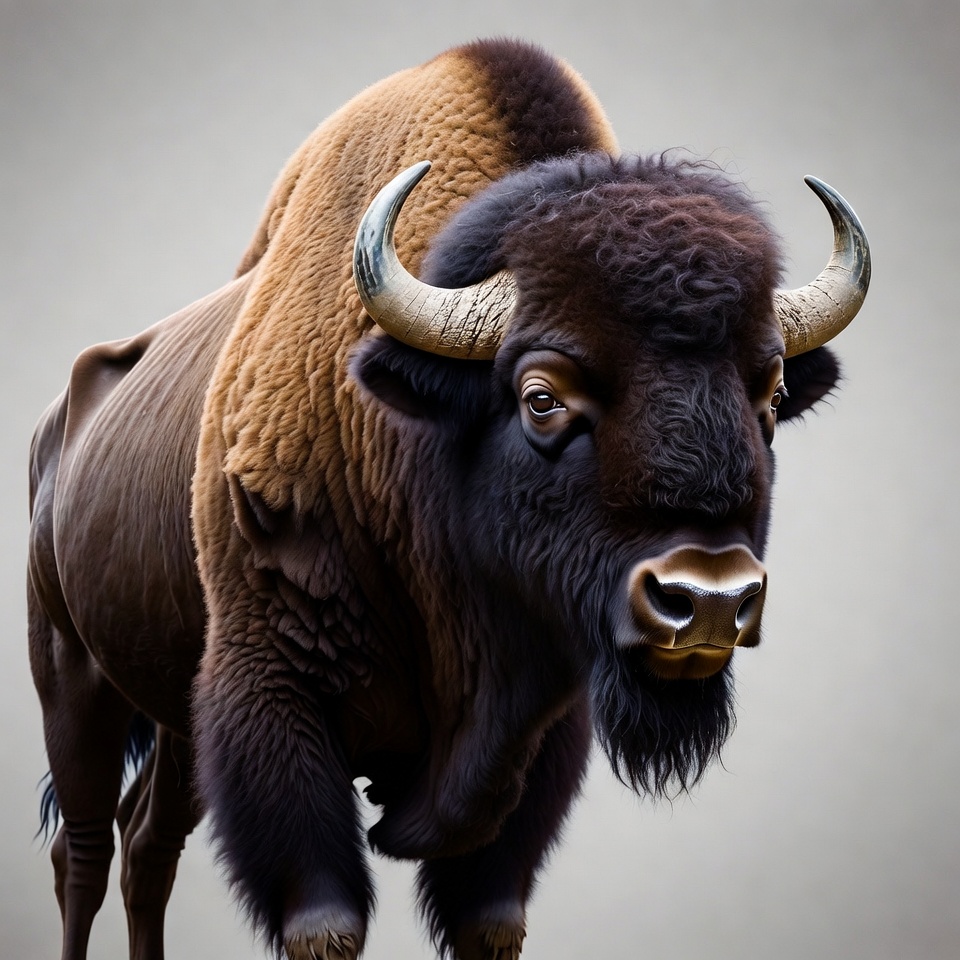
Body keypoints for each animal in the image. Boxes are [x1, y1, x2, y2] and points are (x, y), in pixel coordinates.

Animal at [27, 38, 869, 960]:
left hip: (171, 719)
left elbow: (488, 914)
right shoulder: (270, 699)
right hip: (71, 677)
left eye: (770, 397)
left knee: (149, 843)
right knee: (85, 848)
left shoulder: (540, 741)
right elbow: (324, 919)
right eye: (541, 397)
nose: (710, 600)